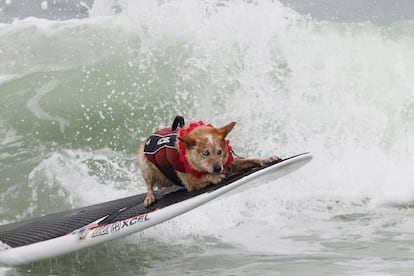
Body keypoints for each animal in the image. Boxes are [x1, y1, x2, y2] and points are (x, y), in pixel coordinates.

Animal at [137, 116, 280, 207]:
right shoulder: (189, 182)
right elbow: (202, 177)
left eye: (220, 152)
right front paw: (214, 177)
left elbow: (250, 159)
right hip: (145, 166)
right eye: (205, 153)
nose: (218, 169)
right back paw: (149, 197)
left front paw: (266, 159)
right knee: (149, 183)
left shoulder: (227, 163)